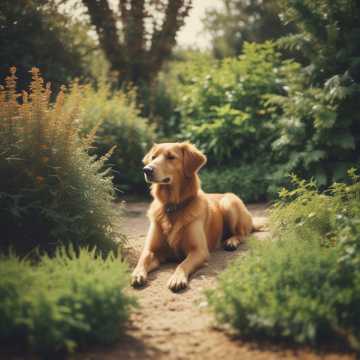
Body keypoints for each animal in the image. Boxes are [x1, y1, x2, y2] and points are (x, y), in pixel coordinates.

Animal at [131, 142, 256, 292]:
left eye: (171, 157)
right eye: (153, 157)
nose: (146, 170)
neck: (173, 207)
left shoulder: (199, 251)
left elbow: (183, 264)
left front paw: (177, 278)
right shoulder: (152, 250)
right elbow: (142, 259)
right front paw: (137, 274)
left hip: (229, 202)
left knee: (243, 234)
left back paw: (231, 241)